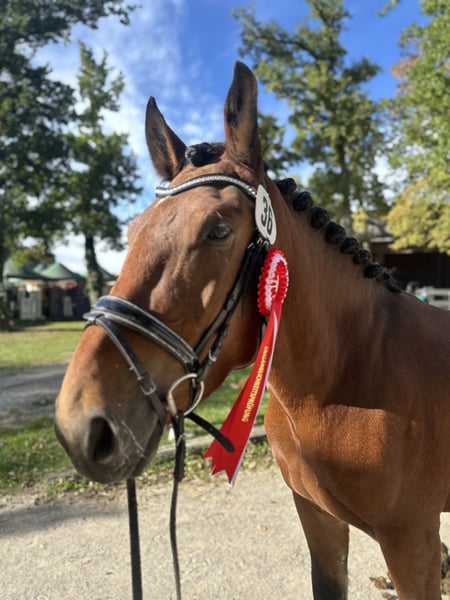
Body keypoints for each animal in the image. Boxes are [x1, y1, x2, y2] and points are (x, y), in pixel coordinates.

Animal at [55, 61, 450, 599]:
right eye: (133, 232)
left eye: (218, 230)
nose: (82, 425)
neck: (345, 377)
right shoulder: (319, 521)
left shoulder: (411, 543)